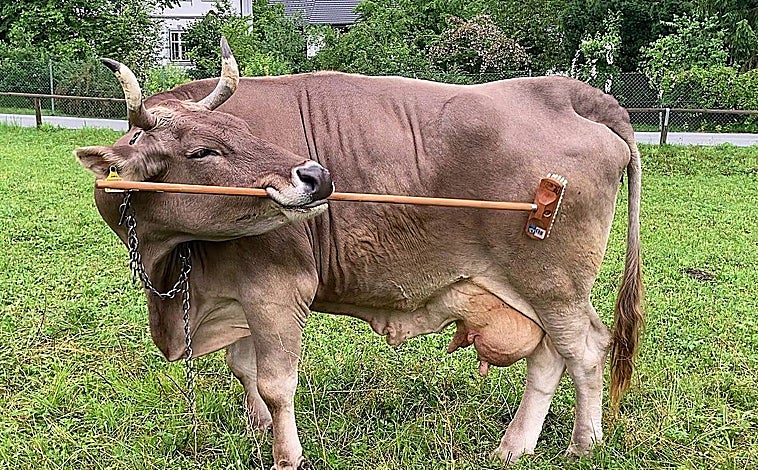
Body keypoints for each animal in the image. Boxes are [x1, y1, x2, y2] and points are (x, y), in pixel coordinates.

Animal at [76, 40, 642, 469]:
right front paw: (258, 428)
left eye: (245, 131)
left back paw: (583, 445)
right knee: (549, 357)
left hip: (553, 285)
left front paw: (286, 454)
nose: (316, 175)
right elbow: (244, 368)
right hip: (537, 294)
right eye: (203, 151)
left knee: (586, 350)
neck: (172, 267)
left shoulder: (277, 289)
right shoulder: (236, 296)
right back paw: (515, 447)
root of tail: (566, 91)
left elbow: (276, 383)